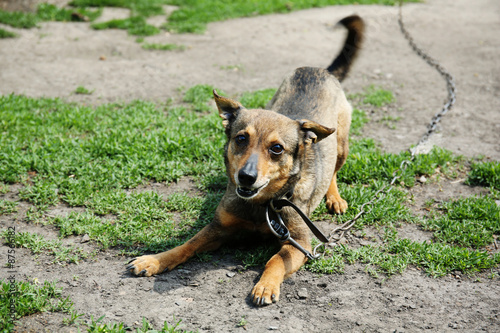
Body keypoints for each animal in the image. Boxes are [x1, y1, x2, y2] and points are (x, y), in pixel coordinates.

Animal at [127, 15, 366, 306]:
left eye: (277, 148)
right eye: (241, 138)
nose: (246, 177)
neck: (261, 205)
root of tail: (320, 69)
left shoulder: (298, 242)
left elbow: (275, 260)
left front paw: (265, 285)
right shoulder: (218, 228)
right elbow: (187, 244)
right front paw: (154, 260)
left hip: (341, 143)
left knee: (333, 170)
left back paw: (334, 197)